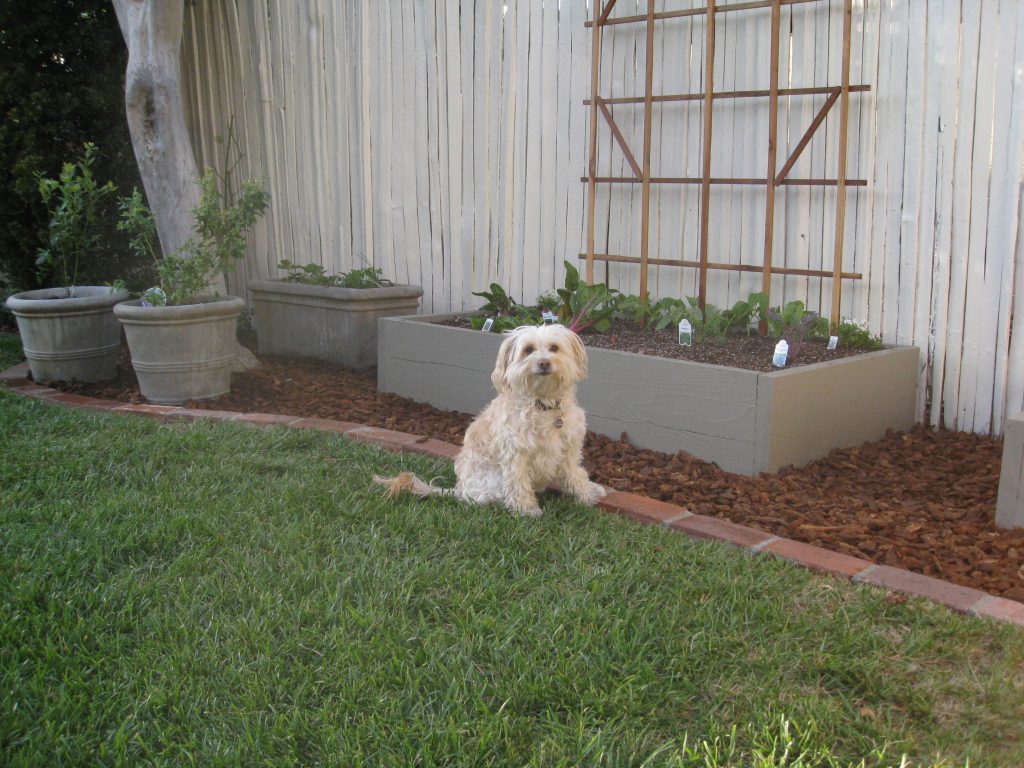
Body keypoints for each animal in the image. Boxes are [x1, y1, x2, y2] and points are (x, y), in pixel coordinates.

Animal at [380, 323, 610, 518]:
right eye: (528, 350)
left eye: (554, 348)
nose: (544, 362)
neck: (543, 404)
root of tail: (458, 490)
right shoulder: (515, 452)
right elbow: (518, 482)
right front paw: (526, 510)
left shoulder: (568, 447)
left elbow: (575, 473)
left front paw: (587, 494)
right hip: (492, 482)